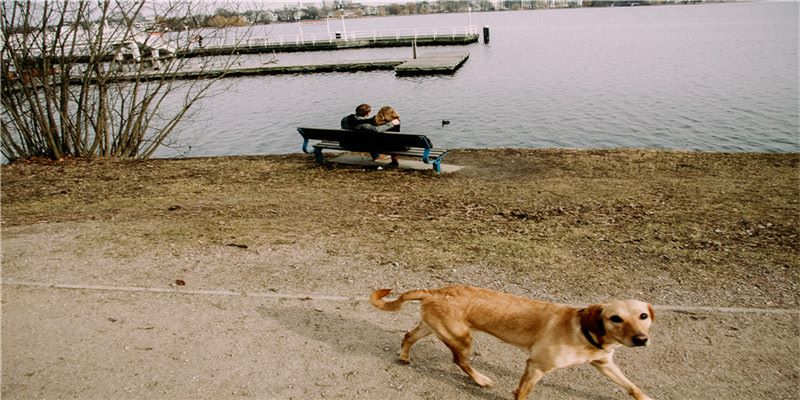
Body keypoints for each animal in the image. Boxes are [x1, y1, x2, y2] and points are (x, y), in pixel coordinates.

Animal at [372, 284, 652, 400]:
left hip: (433, 328)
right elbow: (522, 393)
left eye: (643, 316)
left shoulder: (605, 364)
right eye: (615, 318)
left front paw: (645, 397)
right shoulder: (535, 366)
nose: (641, 340)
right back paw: (480, 379)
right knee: (460, 361)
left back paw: (404, 356)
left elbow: (632, 386)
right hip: (461, 338)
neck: (583, 331)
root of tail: (435, 291)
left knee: (408, 336)